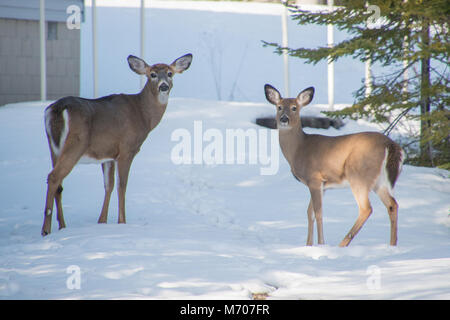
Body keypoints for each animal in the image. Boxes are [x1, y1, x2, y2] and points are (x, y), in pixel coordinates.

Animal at [40, 53, 192, 236]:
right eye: (152, 74)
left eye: (170, 73)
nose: (163, 86)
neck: (143, 115)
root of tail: (57, 109)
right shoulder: (127, 149)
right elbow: (122, 185)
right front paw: (122, 222)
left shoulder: (108, 155)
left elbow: (109, 185)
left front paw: (102, 221)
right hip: (75, 144)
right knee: (54, 177)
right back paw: (46, 229)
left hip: (53, 148)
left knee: (59, 184)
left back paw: (62, 226)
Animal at [264, 84, 404, 246]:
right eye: (279, 107)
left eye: (294, 108)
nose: (284, 119)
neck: (299, 149)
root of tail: (390, 145)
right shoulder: (322, 186)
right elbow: (309, 212)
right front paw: (308, 245)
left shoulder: (314, 178)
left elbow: (318, 213)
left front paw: (321, 244)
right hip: (378, 181)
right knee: (392, 204)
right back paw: (392, 244)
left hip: (359, 174)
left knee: (366, 208)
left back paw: (342, 244)